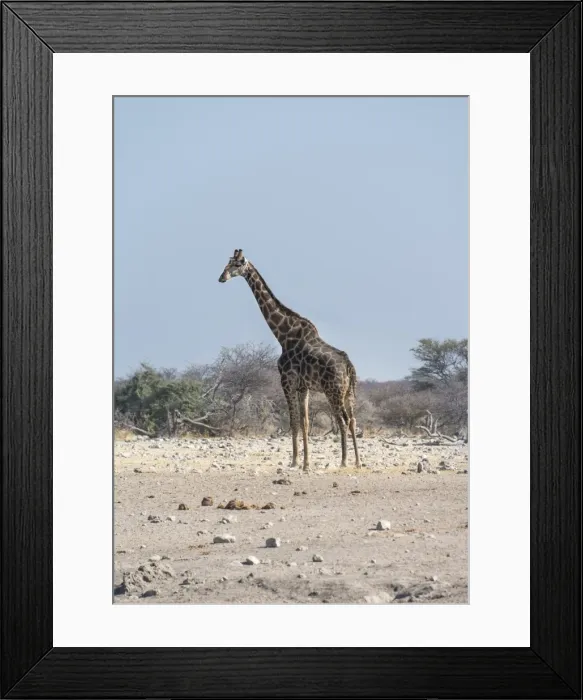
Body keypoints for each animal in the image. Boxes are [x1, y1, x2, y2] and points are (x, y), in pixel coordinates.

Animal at [219, 249, 361, 471]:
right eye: (227, 263)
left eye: (235, 264)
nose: (221, 278)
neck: (283, 335)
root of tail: (349, 366)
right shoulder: (303, 387)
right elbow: (305, 423)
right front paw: (305, 463)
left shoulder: (286, 381)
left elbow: (293, 422)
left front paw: (294, 461)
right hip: (349, 392)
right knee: (353, 420)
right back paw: (357, 461)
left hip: (333, 391)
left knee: (343, 421)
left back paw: (344, 461)